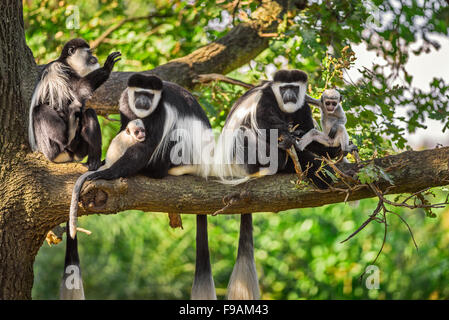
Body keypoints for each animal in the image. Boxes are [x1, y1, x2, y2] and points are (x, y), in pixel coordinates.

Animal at [28, 38, 121, 170]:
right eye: (89, 52)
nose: (94, 57)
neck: (68, 63)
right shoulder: (60, 69)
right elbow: (80, 89)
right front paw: (107, 67)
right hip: (50, 148)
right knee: (40, 110)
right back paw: (67, 136)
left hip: (79, 150)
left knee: (89, 113)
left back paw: (93, 161)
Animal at [82, 74, 219, 300]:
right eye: (139, 93)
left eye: (149, 95)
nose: (143, 102)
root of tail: (204, 164)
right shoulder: (124, 103)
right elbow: (124, 128)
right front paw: (103, 162)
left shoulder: (161, 112)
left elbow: (146, 146)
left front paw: (108, 172)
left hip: (183, 153)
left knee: (173, 136)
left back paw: (153, 170)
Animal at [215, 70, 342, 300]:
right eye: (283, 88)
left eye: (294, 87)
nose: (290, 94)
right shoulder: (265, 99)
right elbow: (266, 124)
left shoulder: (302, 107)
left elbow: (307, 129)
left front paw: (328, 147)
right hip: (243, 157)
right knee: (247, 133)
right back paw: (289, 161)